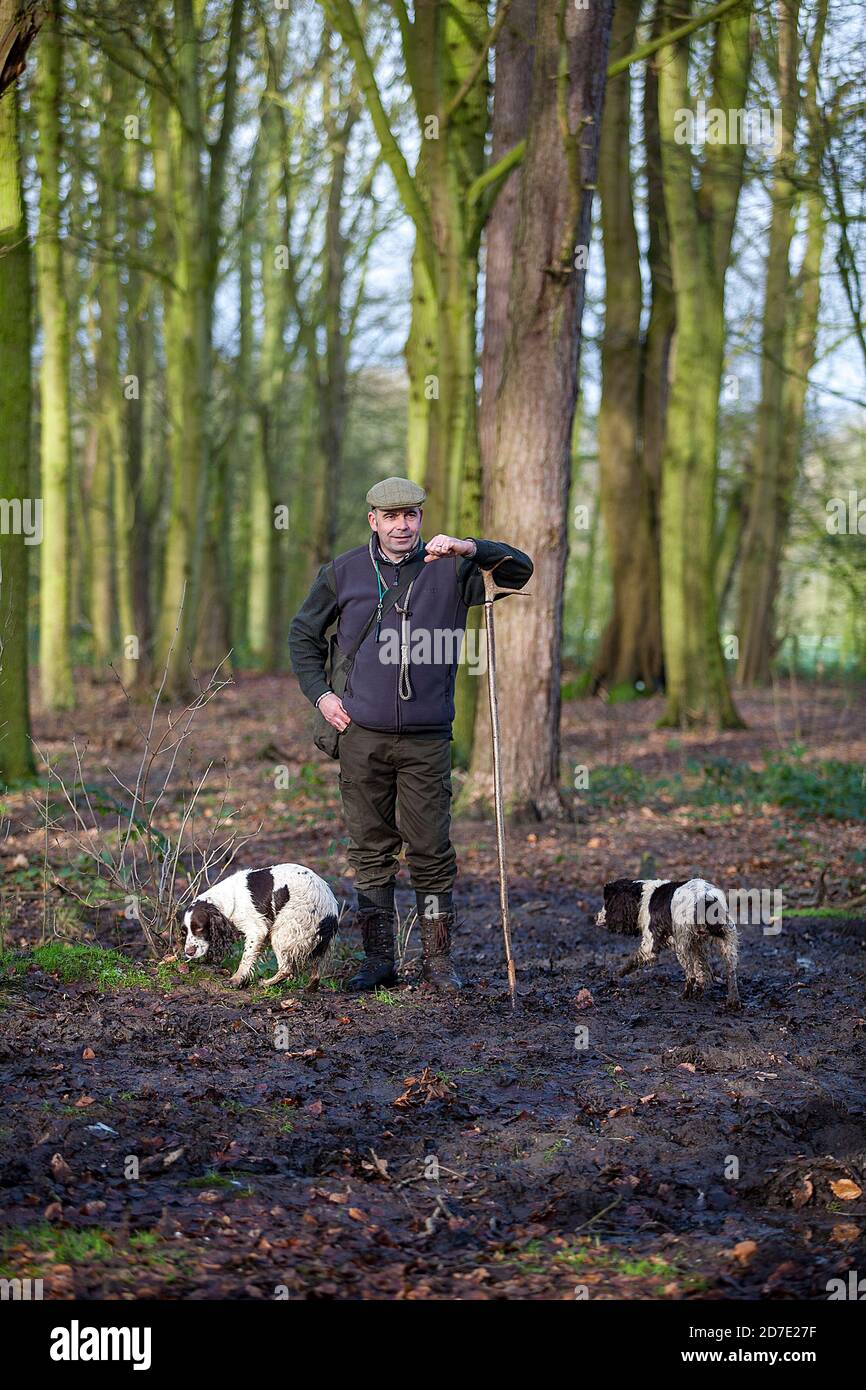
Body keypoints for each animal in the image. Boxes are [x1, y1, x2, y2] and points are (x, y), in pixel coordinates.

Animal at [594, 878, 745, 1011]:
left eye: (607, 902)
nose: (596, 917)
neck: (641, 896)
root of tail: (705, 898)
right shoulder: (697, 945)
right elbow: (703, 971)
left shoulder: (650, 945)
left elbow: (631, 960)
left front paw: (616, 976)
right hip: (727, 940)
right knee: (731, 973)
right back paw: (733, 1002)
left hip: (682, 945)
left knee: (691, 975)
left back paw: (684, 996)